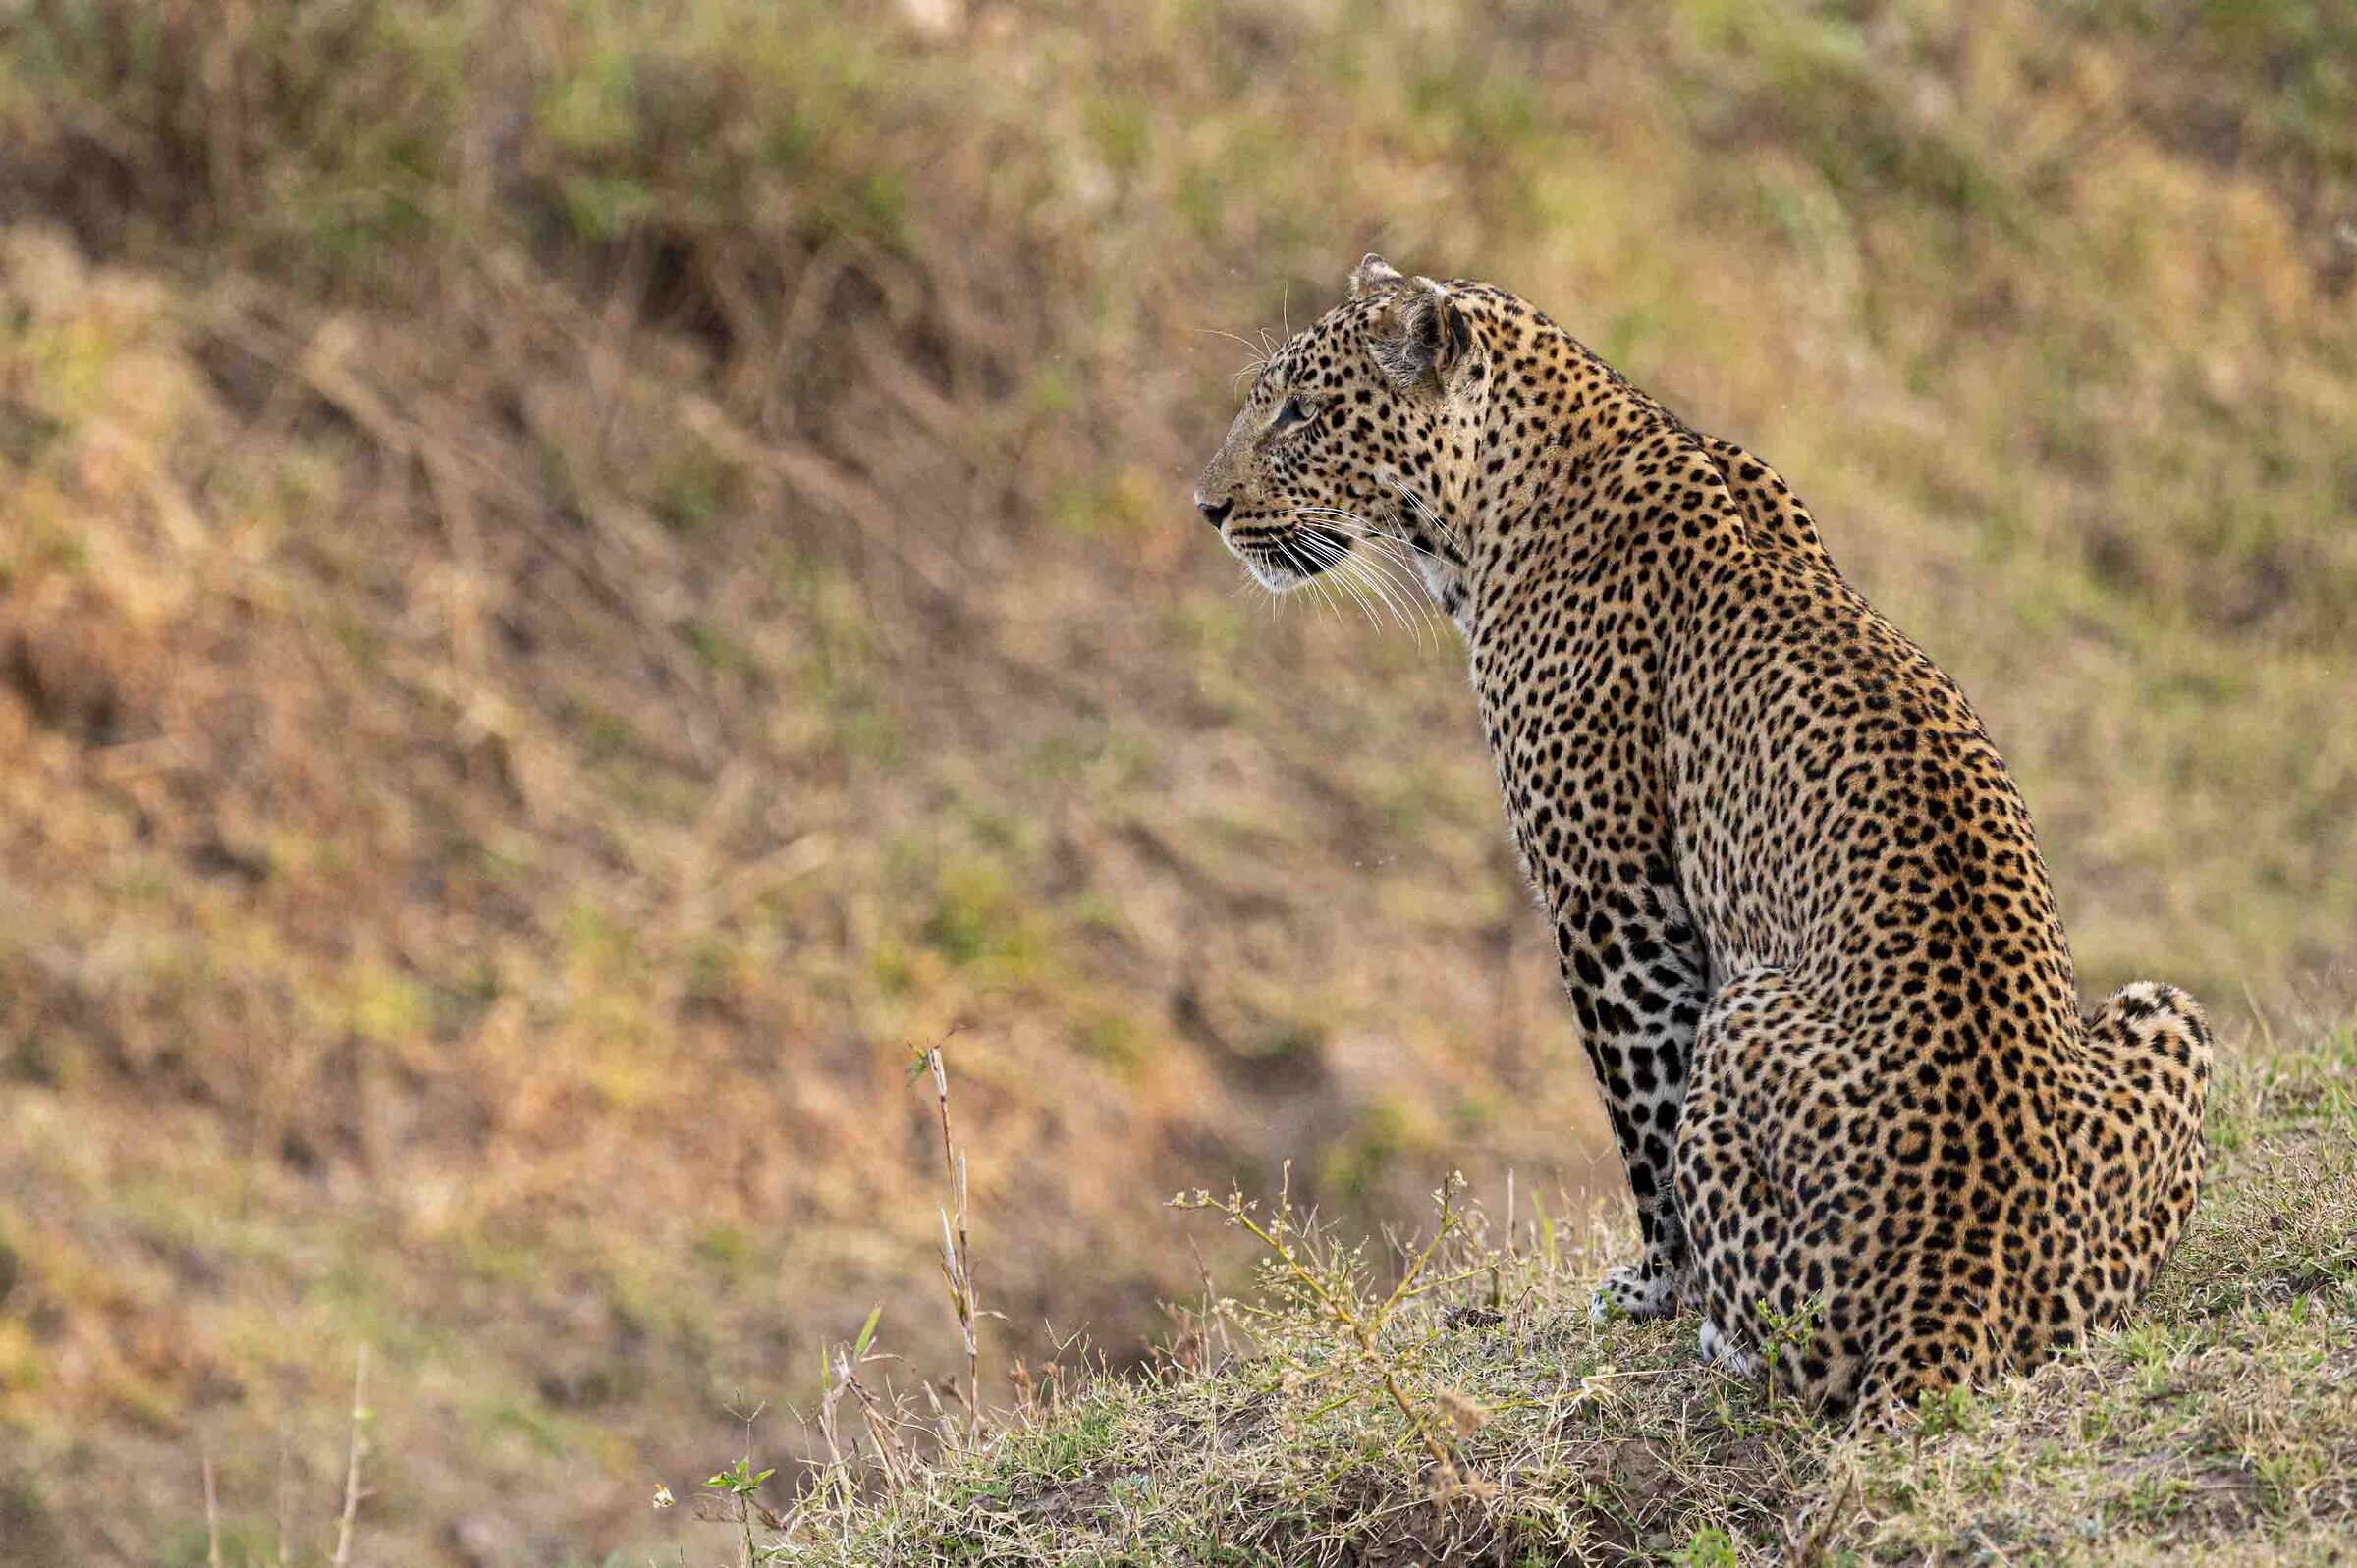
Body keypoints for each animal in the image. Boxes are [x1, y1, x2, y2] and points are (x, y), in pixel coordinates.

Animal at [1191, 253, 2211, 1419]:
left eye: (1302, 413)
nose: (1207, 508)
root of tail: (1962, 1267)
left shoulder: (1610, 897)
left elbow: (1644, 1117)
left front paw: (1652, 1285)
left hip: (1749, 1005)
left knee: (1798, 1329)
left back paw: (1725, 1330)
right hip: (2166, 1013)